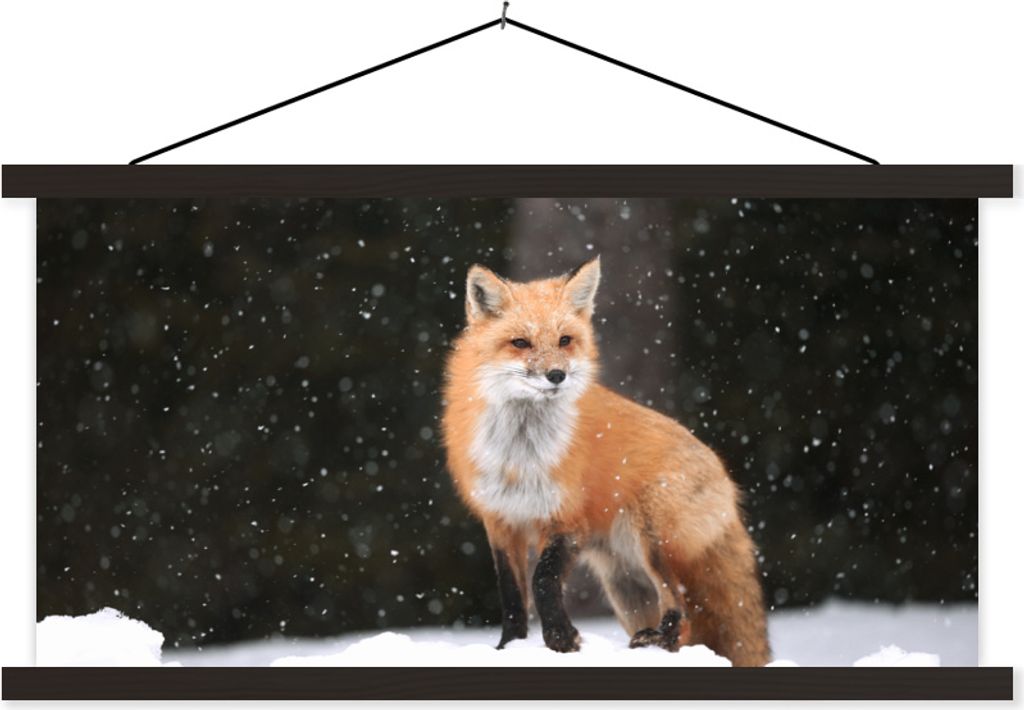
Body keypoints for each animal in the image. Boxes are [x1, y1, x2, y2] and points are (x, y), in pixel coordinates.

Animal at [440, 256, 770, 667]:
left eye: (565, 340)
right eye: (520, 343)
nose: (556, 375)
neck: (521, 456)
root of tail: (728, 482)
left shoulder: (567, 521)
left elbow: (543, 579)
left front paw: (561, 639)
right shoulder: (501, 521)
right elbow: (512, 595)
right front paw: (508, 648)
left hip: (653, 542)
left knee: (682, 608)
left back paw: (658, 639)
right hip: (626, 585)